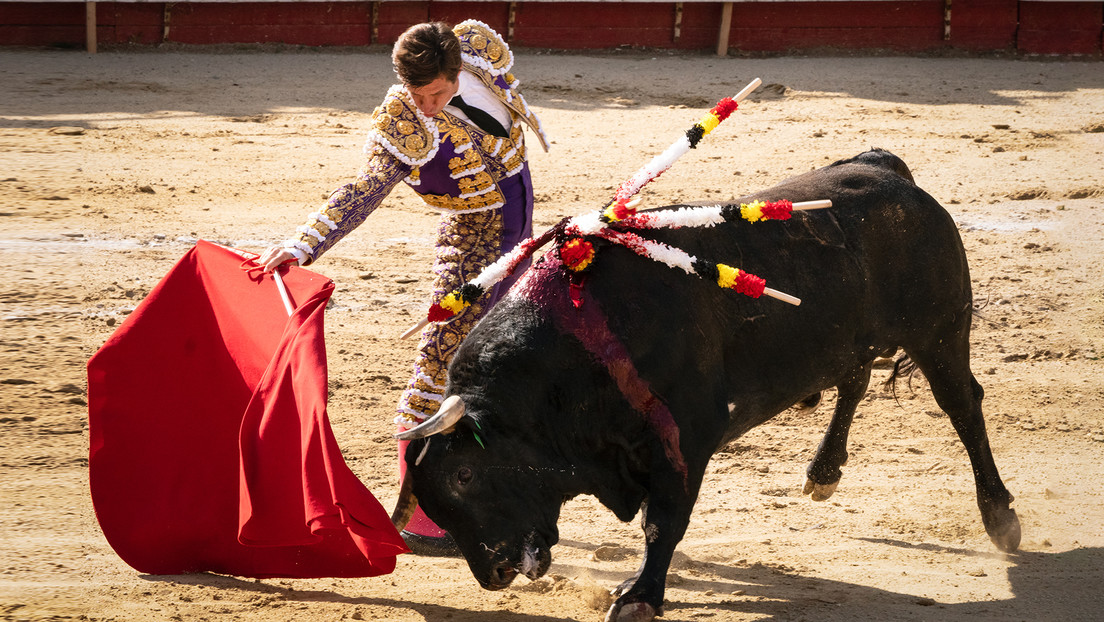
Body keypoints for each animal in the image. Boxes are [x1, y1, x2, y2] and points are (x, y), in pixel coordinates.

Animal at [386, 149, 1015, 622]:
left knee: (963, 406)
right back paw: (823, 473)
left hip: (940, 332)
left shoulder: (685, 439)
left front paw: (639, 597)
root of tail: (890, 172)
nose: (492, 573)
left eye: (464, 475)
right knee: (854, 379)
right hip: (852, 338)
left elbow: (663, 521)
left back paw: (1001, 517)